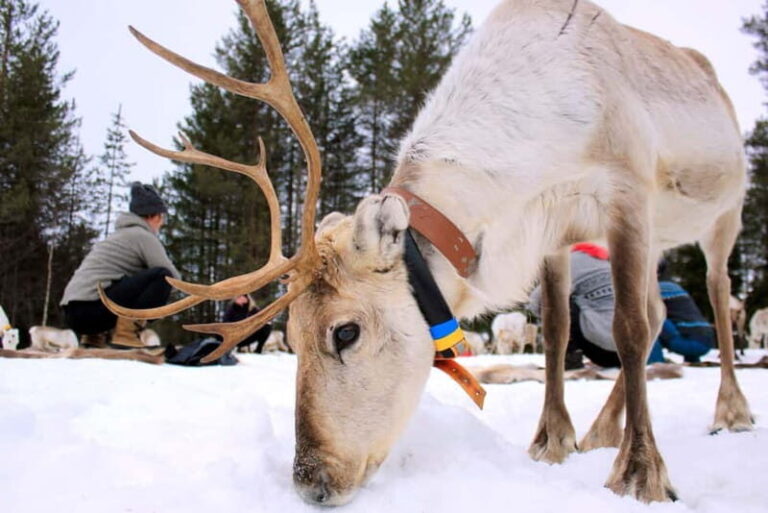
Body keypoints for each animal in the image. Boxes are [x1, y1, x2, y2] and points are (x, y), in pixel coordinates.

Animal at [101, 0, 754, 507]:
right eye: (290, 332)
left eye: (345, 331)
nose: (311, 483)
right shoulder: (553, 233)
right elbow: (557, 333)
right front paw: (552, 443)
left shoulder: (628, 196)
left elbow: (625, 329)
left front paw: (642, 474)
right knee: (661, 311)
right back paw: (600, 431)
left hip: (723, 215)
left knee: (712, 296)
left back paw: (731, 411)